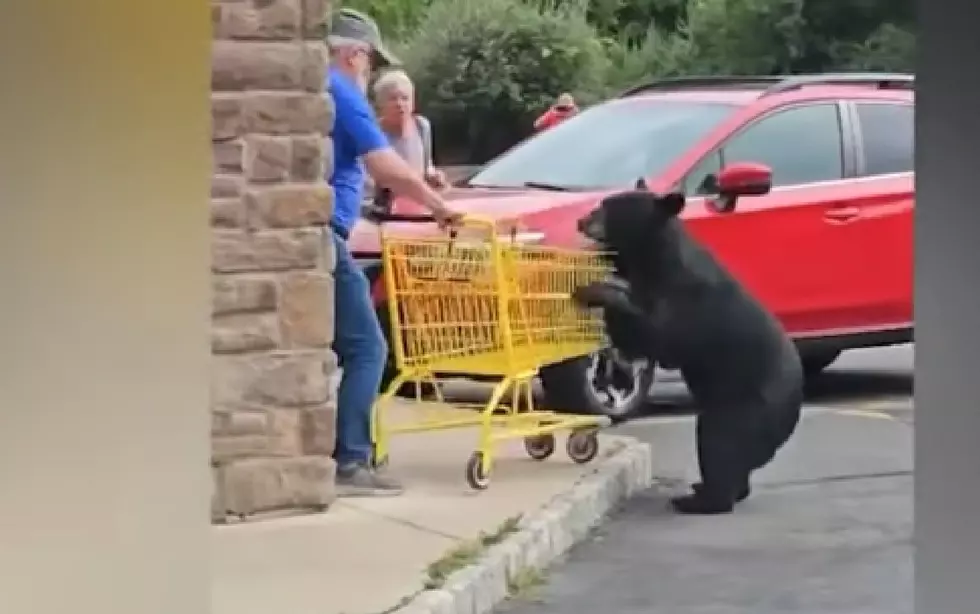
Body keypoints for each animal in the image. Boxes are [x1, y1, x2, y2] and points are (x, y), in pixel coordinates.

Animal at [572, 188, 804, 515]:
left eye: (608, 208)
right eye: (600, 204)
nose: (581, 220)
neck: (656, 263)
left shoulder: (689, 304)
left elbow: (659, 338)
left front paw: (593, 291)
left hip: (745, 408)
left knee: (718, 442)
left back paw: (701, 500)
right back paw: (708, 489)